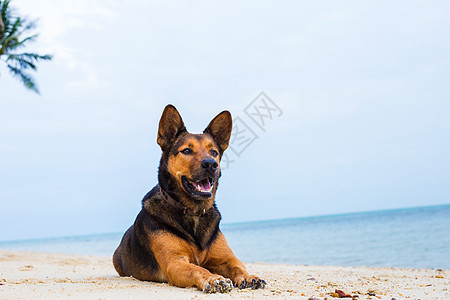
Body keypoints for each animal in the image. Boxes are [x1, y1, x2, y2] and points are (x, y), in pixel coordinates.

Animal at [113, 104, 268, 292]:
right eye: (186, 150)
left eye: (214, 152)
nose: (211, 164)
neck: (193, 211)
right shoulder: (174, 263)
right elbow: (197, 269)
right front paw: (214, 279)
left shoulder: (226, 259)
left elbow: (238, 266)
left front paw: (249, 276)